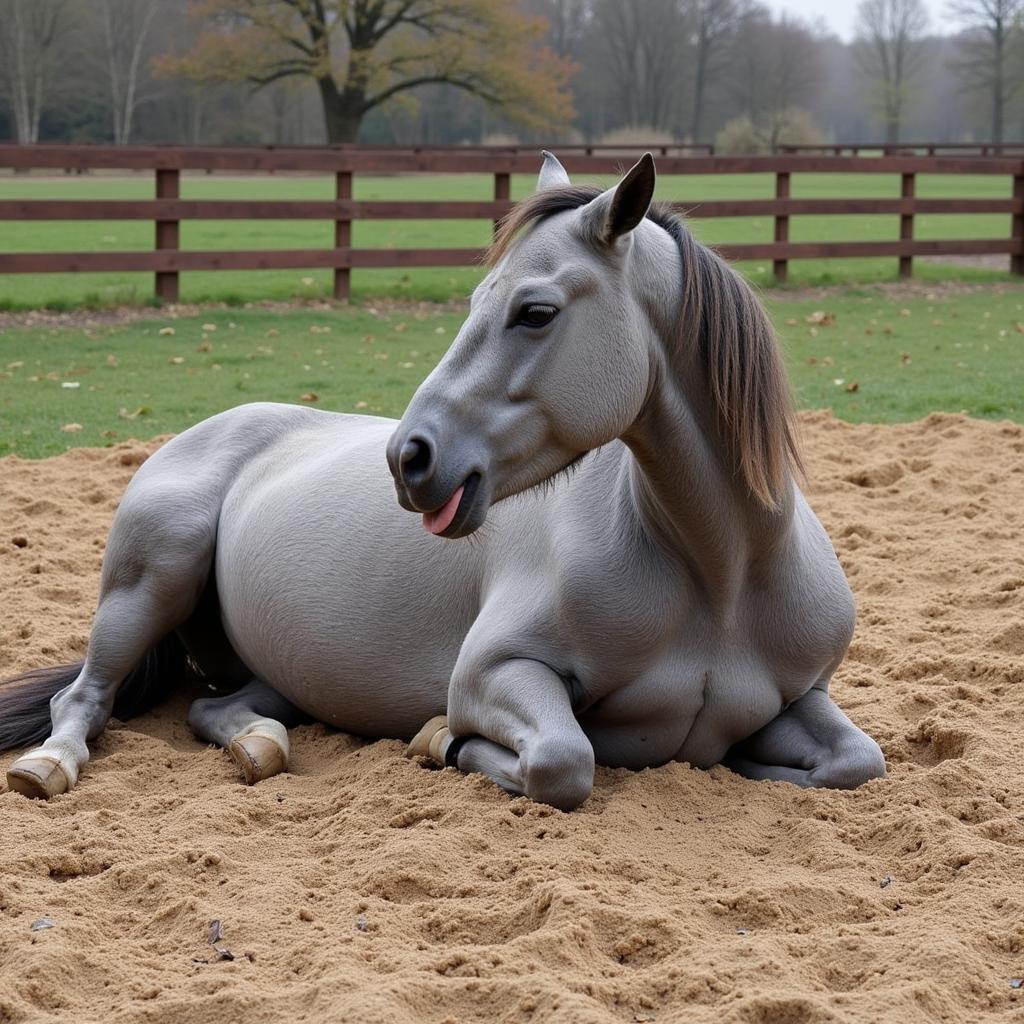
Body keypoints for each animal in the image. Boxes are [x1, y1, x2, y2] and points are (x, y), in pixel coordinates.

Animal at [0, 151, 884, 806]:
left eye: (535, 311)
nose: (409, 457)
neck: (717, 572)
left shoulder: (805, 696)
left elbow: (858, 761)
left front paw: (760, 765)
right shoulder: (492, 674)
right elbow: (563, 763)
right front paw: (440, 740)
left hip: (274, 673)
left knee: (219, 708)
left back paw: (258, 743)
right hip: (151, 577)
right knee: (81, 700)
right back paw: (50, 765)